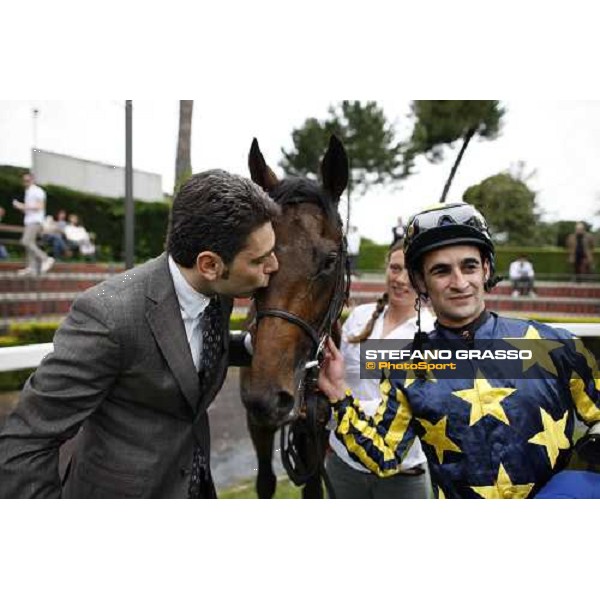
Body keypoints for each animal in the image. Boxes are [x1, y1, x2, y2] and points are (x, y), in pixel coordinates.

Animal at [240, 136, 350, 496]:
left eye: (330, 260)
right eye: (256, 259)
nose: (269, 396)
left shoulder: (316, 426)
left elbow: (313, 486)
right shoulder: (257, 423)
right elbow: (265, 481)